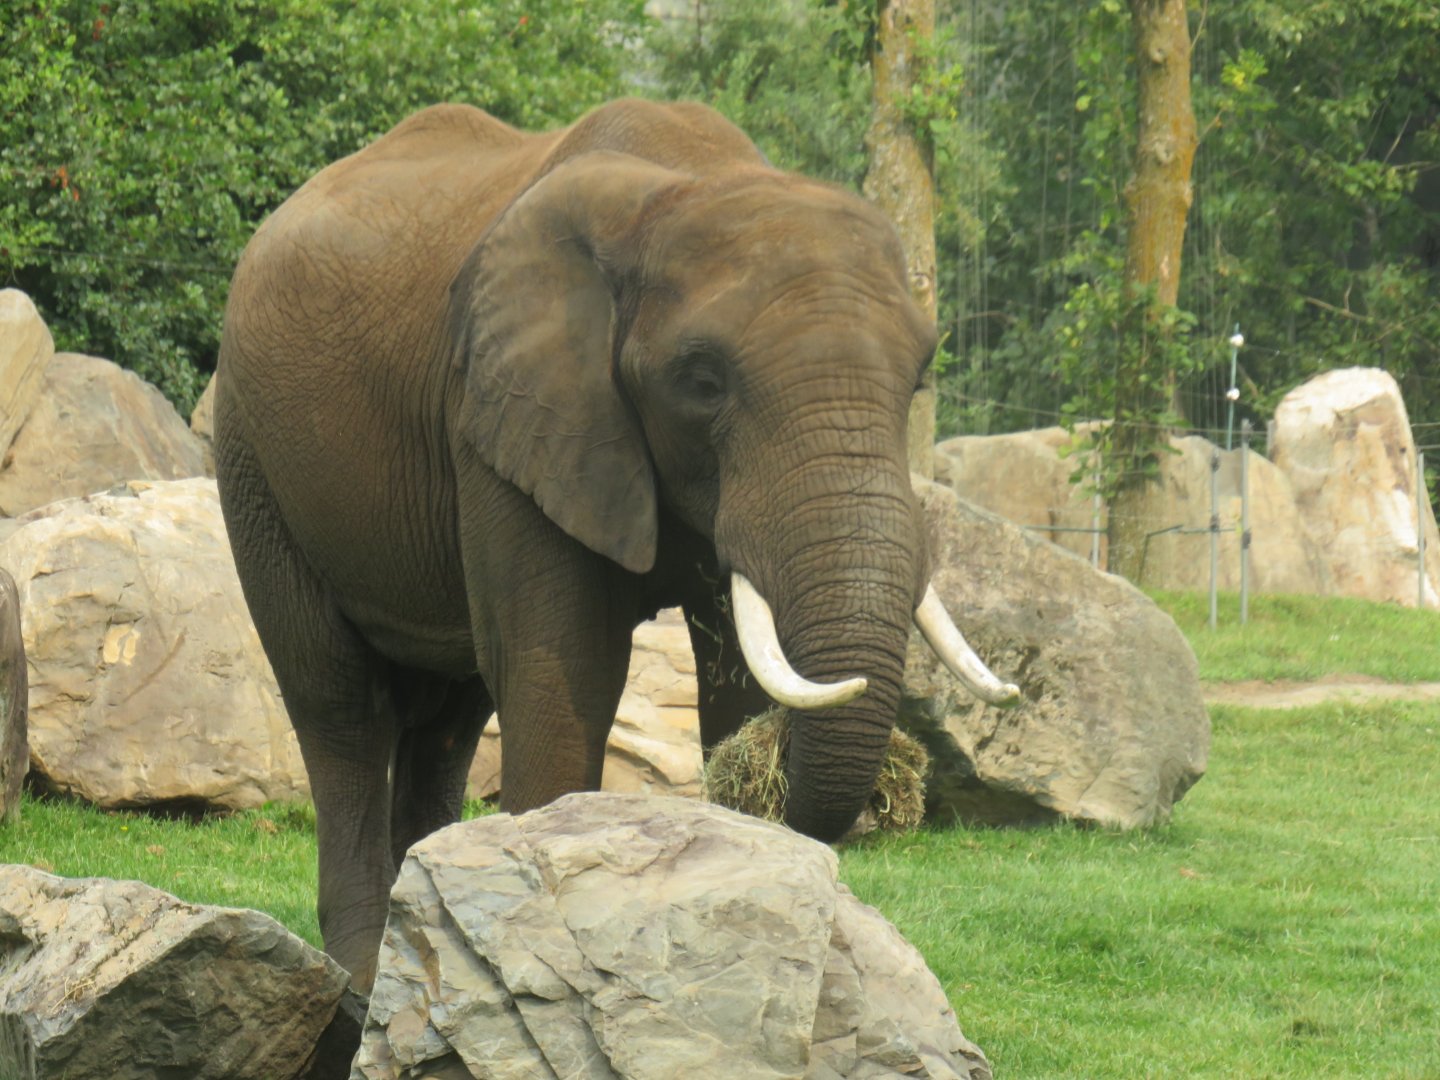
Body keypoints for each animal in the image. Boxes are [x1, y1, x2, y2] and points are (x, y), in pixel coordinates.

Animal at [214, 97, 1017, 990]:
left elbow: (733, 685)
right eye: (702, 382)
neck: (684, 187)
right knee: (340, 706)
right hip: (253, 457)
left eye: (919, 376)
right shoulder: (508, 412)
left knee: (449, 719)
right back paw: (362, 979)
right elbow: (565, 669)